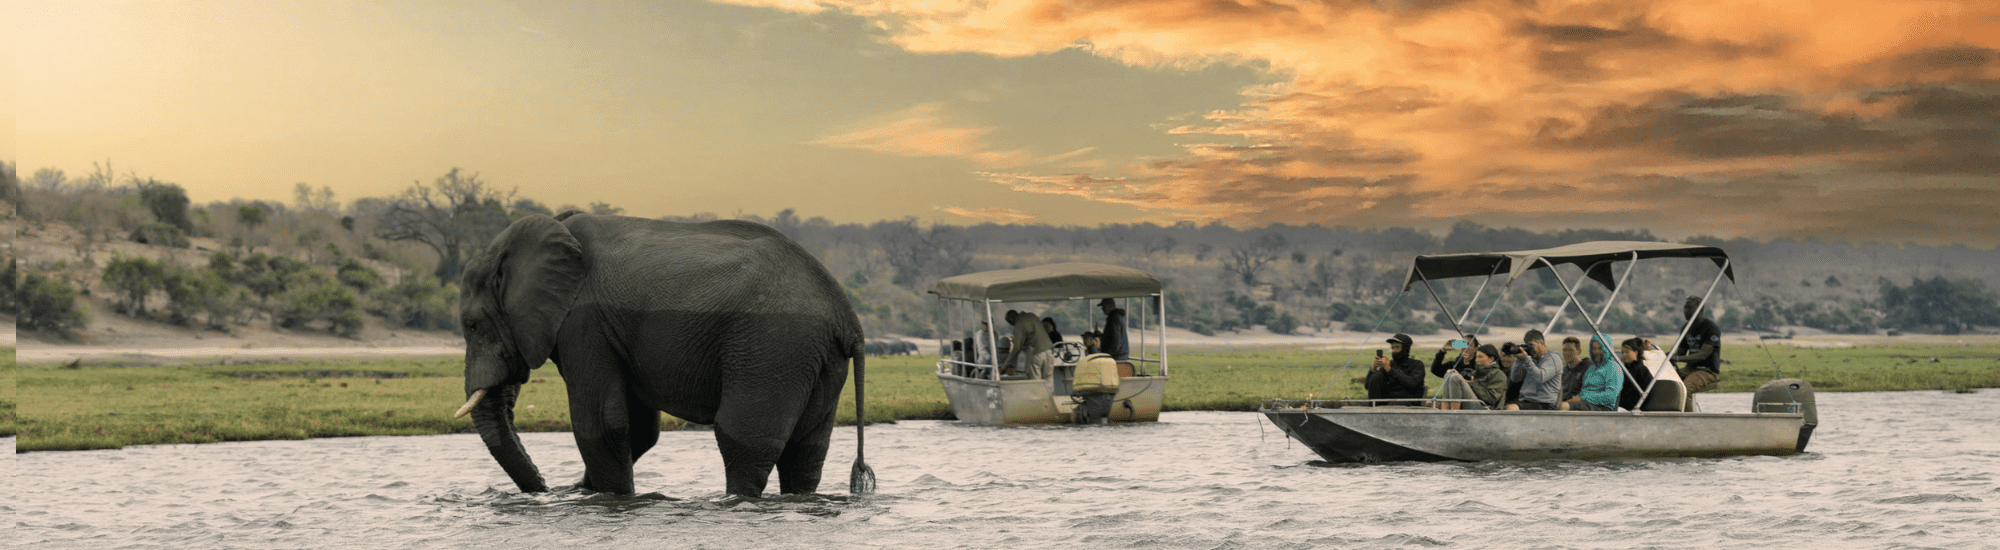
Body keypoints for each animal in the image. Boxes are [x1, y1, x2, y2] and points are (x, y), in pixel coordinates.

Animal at [456, 213, 876, 498]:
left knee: (743, 438)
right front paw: (590, 493)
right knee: (806, 448)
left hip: (773, 345)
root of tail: (846, 313)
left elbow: (602, 425)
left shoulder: (584, 323)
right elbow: (639, 429)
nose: (548, 490)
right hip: (816, 357)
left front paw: (607, 499)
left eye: (472, 325)